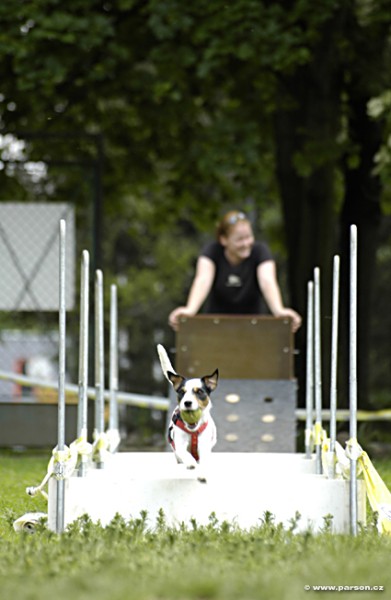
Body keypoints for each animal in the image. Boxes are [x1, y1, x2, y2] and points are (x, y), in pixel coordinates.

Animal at [158, 344, 219, 480]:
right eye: (182, 392)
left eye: (199, 392)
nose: (187, 403)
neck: (193, 431)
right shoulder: (180, 444)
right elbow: (185, 453)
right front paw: (191, 463)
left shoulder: (204, 446)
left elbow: (204, 460)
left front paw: (202, 473)